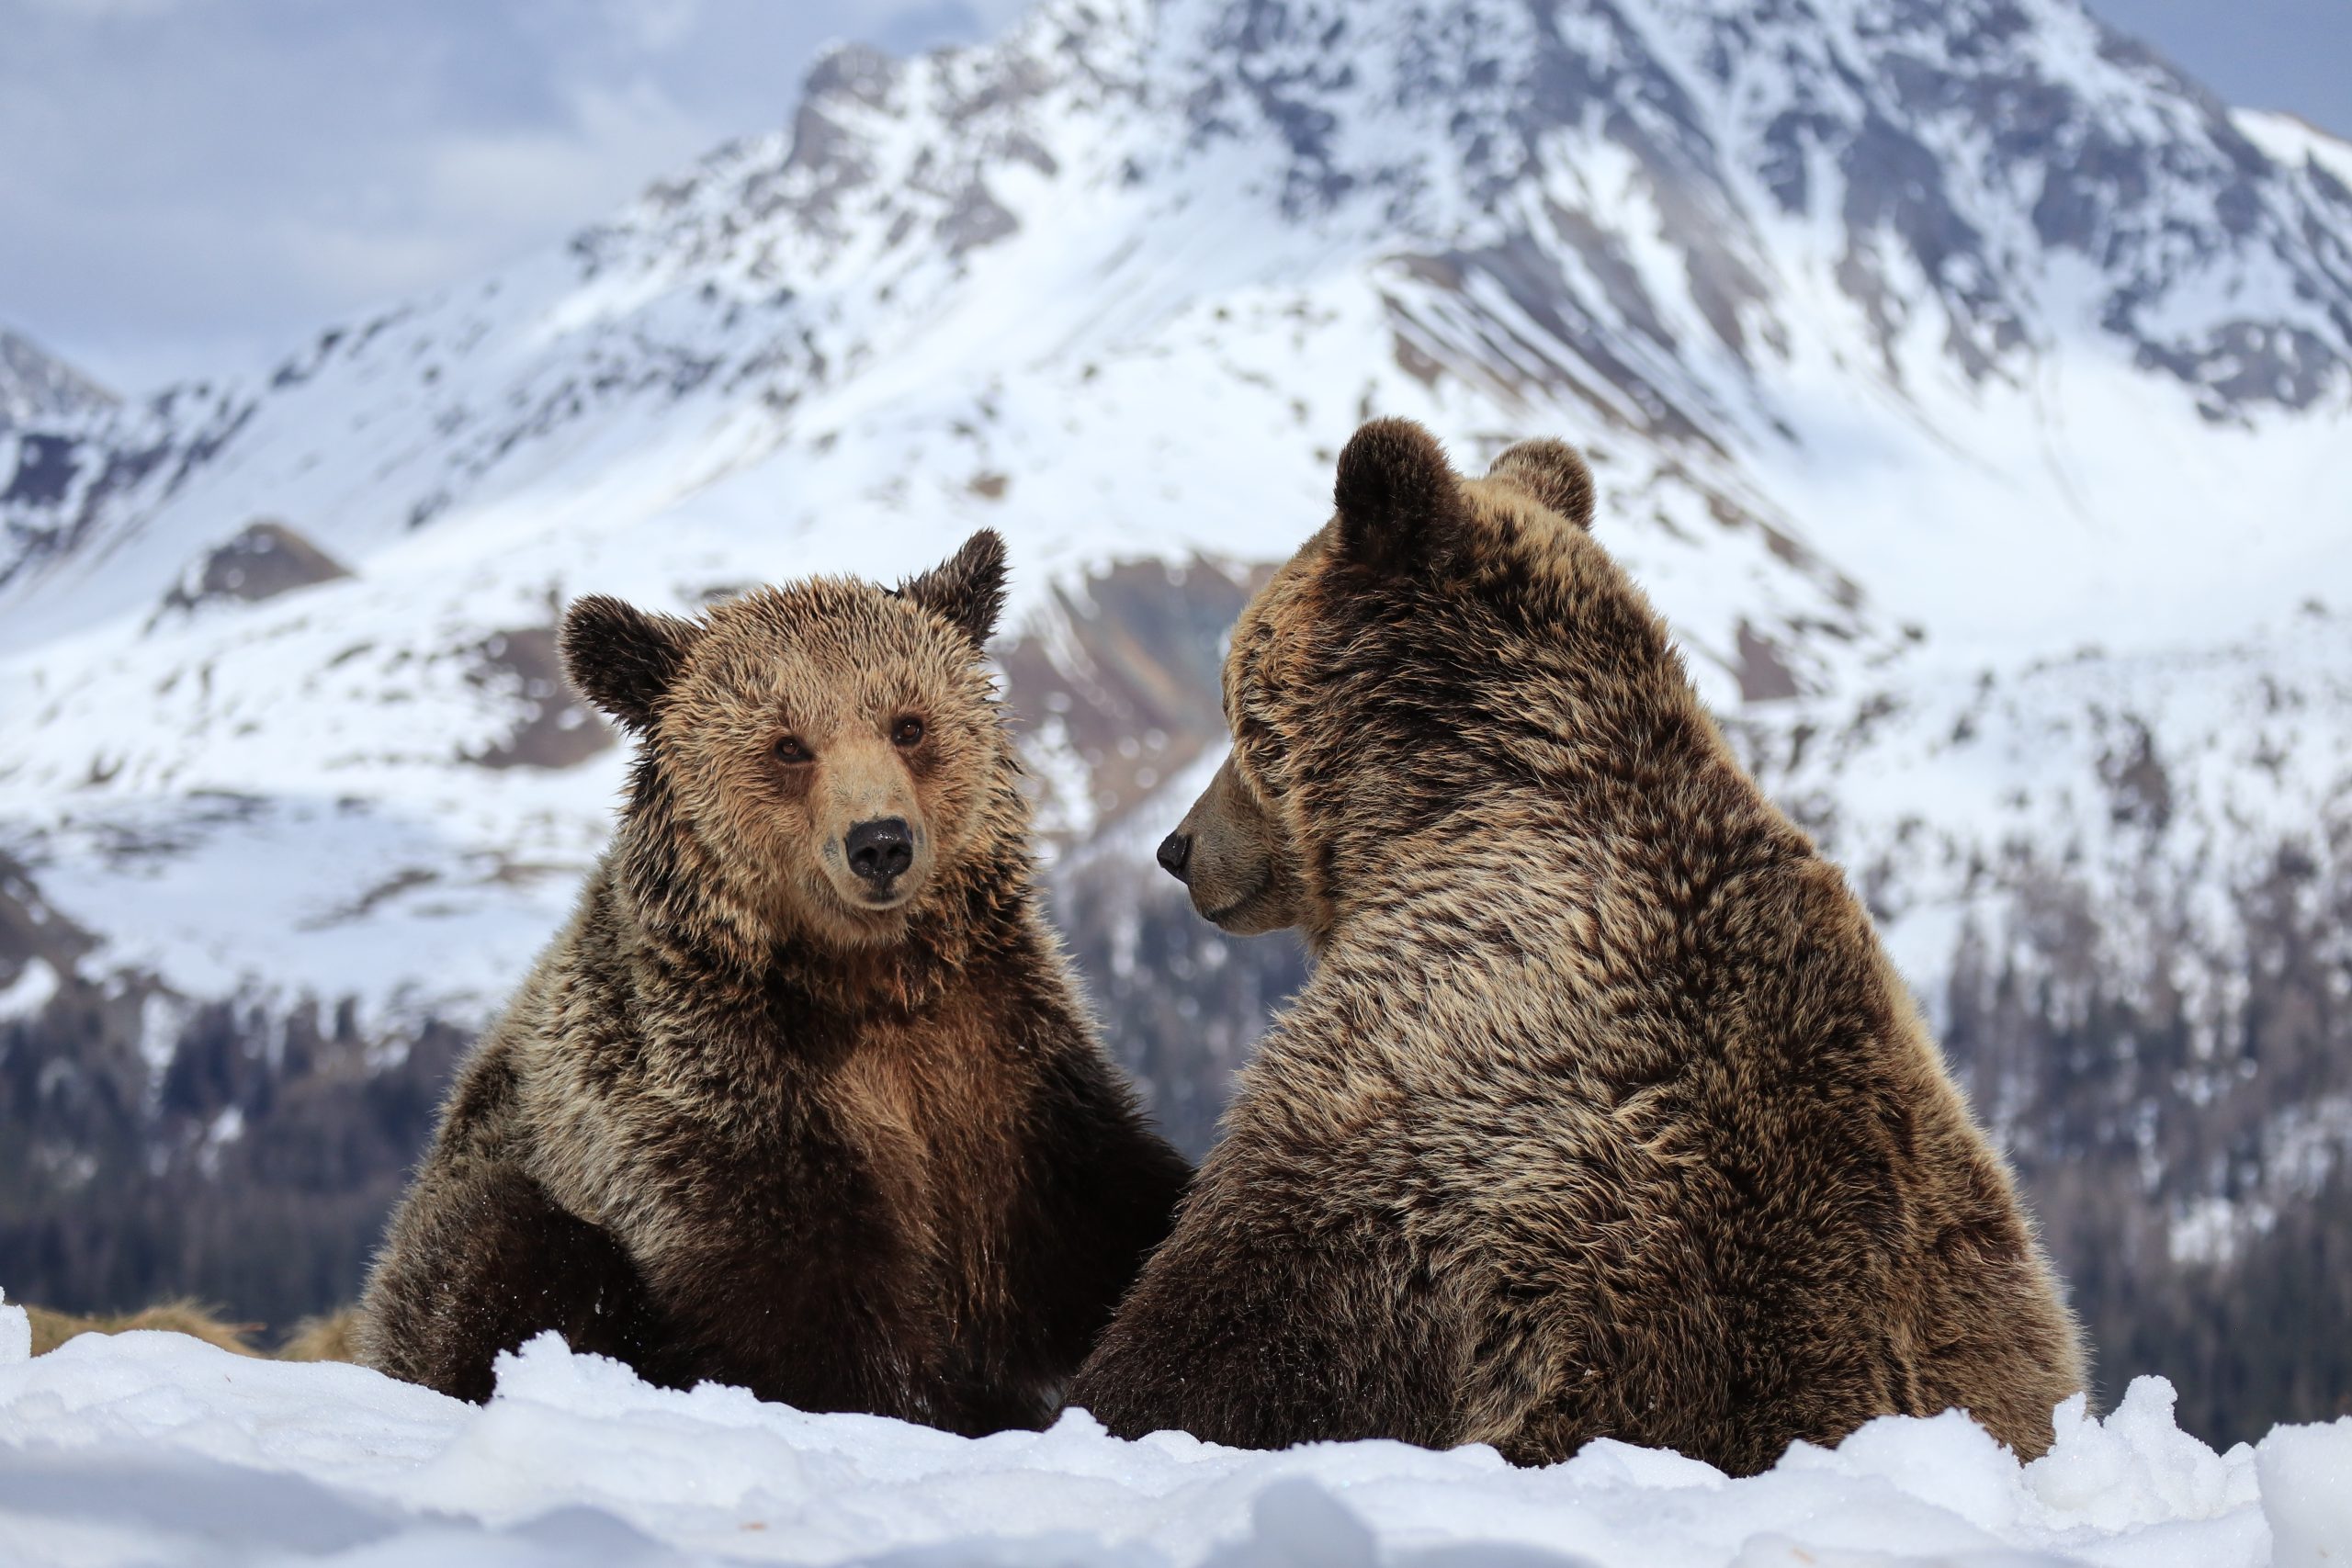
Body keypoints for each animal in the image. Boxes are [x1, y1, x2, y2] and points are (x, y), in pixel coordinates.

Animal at [358, 530, 1191, 1432]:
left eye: (908, 723)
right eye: (789, 742)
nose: (880, 842)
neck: (865, 983)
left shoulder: (1005, 1064)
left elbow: (1108, 1211)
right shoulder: (712, 1107)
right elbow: (807, 1320)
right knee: (503, 1252)